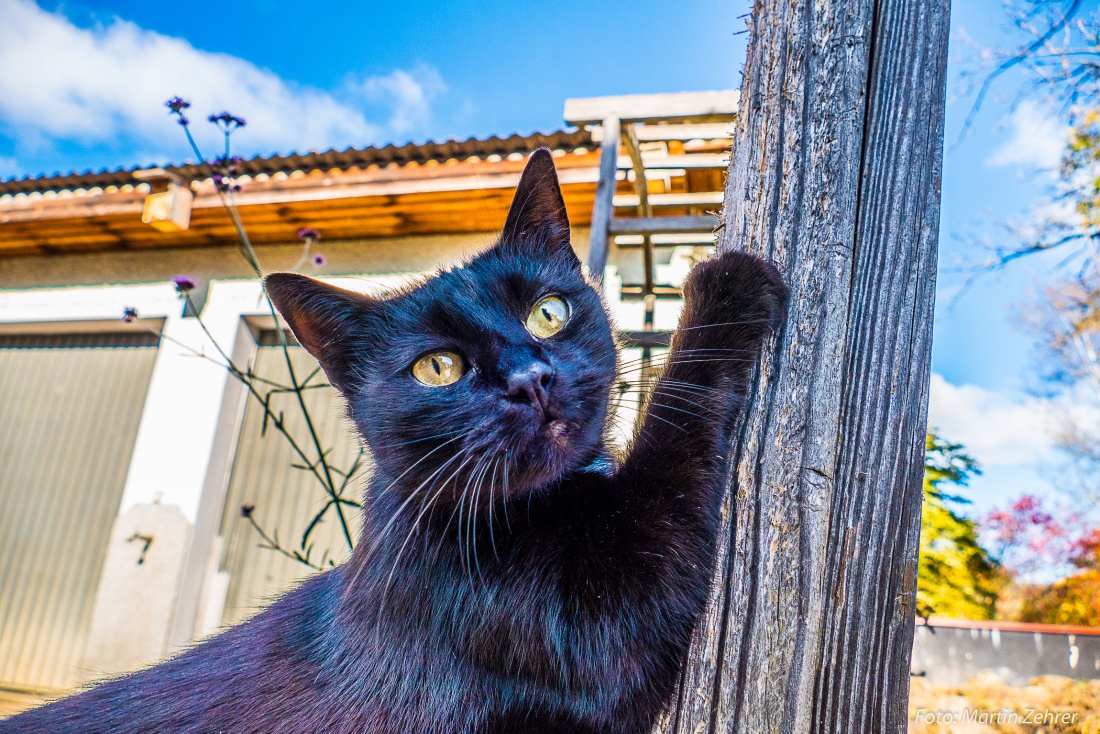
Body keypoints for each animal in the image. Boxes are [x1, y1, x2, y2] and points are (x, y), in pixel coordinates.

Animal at [4, 146, 787, 730]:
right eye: (437, 367)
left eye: (548, 312)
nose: (531, 378)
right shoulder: (612, 619)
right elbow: (671, 441)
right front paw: (727, 287)